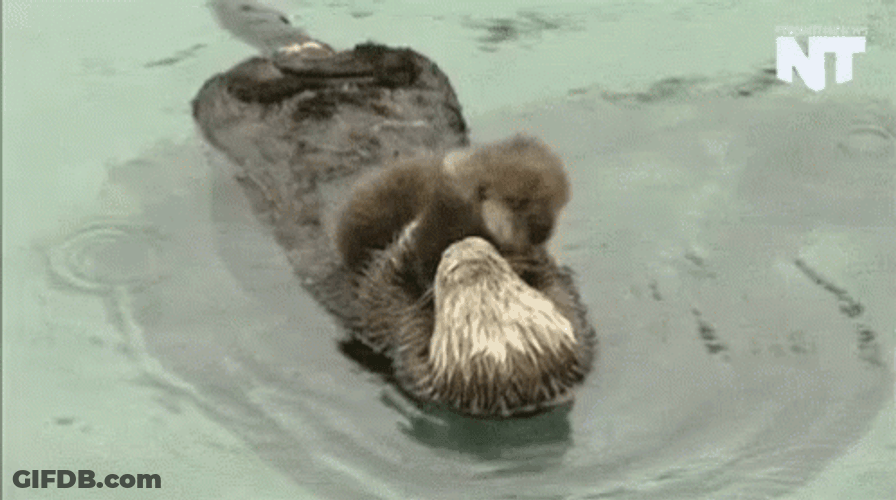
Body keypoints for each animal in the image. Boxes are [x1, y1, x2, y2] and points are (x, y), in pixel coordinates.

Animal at [354, 220, 596, 418]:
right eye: (508, 277)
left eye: (450, 282)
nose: (466, 244)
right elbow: (563, 293)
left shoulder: (405, 343)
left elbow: (380, 297)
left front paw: (410, 238)